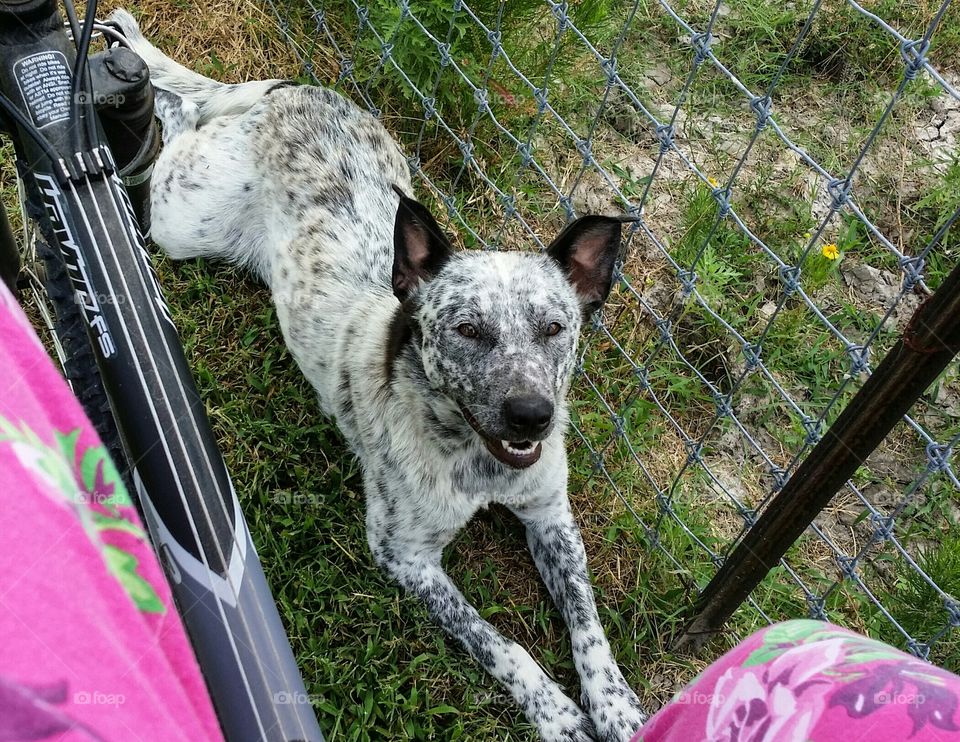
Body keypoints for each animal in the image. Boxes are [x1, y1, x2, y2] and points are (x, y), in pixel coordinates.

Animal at [114, 8, 644, 740]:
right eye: (468, 329)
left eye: (553, 328)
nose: (532, 415)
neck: (475, 459)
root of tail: (292, 92)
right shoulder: (405, 556)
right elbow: (499, 641)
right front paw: (557, 712)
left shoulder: (551, 515)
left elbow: (588, 625)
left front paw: (613, 703)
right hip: (180, 219)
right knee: (178, 116)